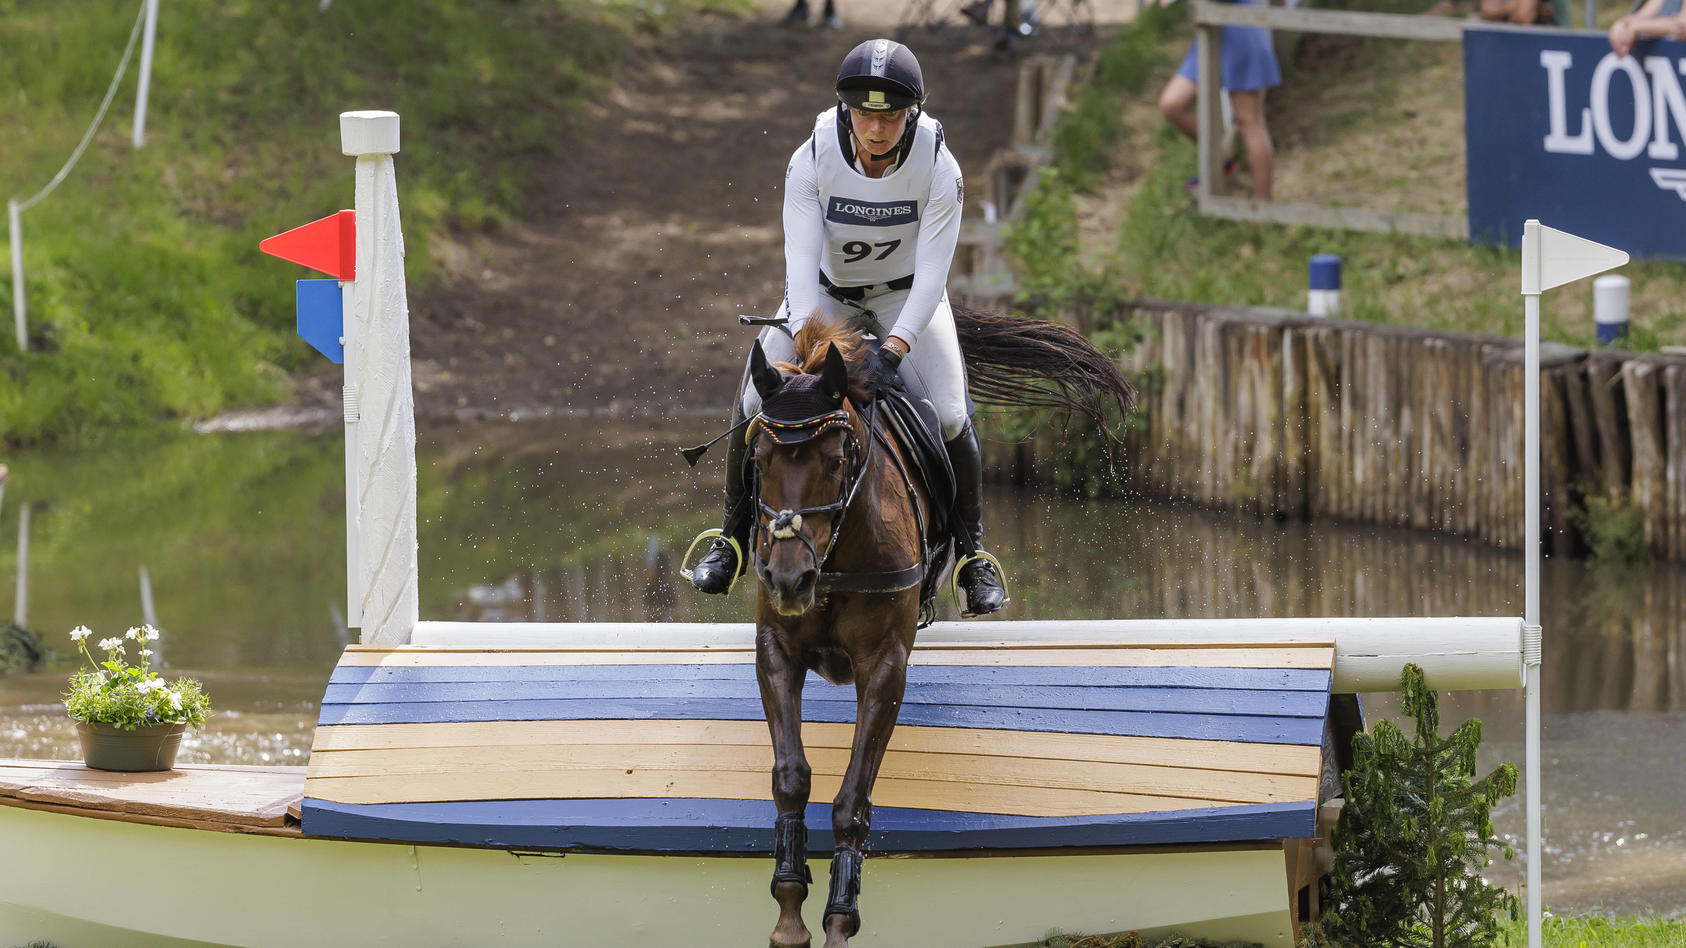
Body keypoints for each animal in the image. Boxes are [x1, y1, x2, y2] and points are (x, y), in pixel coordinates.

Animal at [738, 307, 1132, 937]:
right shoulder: (776, 649)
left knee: (953, 425)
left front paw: (840, 920)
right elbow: (791, 776)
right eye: (757, 461)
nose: (789, 580)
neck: (836, 555)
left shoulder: (884, 665)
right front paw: (789, 914)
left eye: (836, 460)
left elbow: (852, 802)